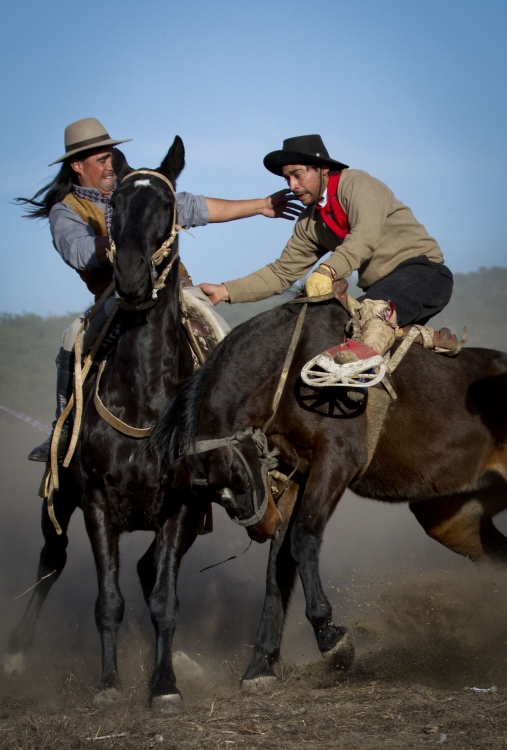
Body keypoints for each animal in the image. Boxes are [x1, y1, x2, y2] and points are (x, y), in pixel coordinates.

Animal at [159, 296, 507, 696]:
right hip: (451, 517)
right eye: (212, 494)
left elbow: (302, 539)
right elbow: (278, 566)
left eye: (240, 478)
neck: (288, 367)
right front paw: (260, 665)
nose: (261, 527)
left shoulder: (336, 461)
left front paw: (329, 636)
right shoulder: (298, 474)